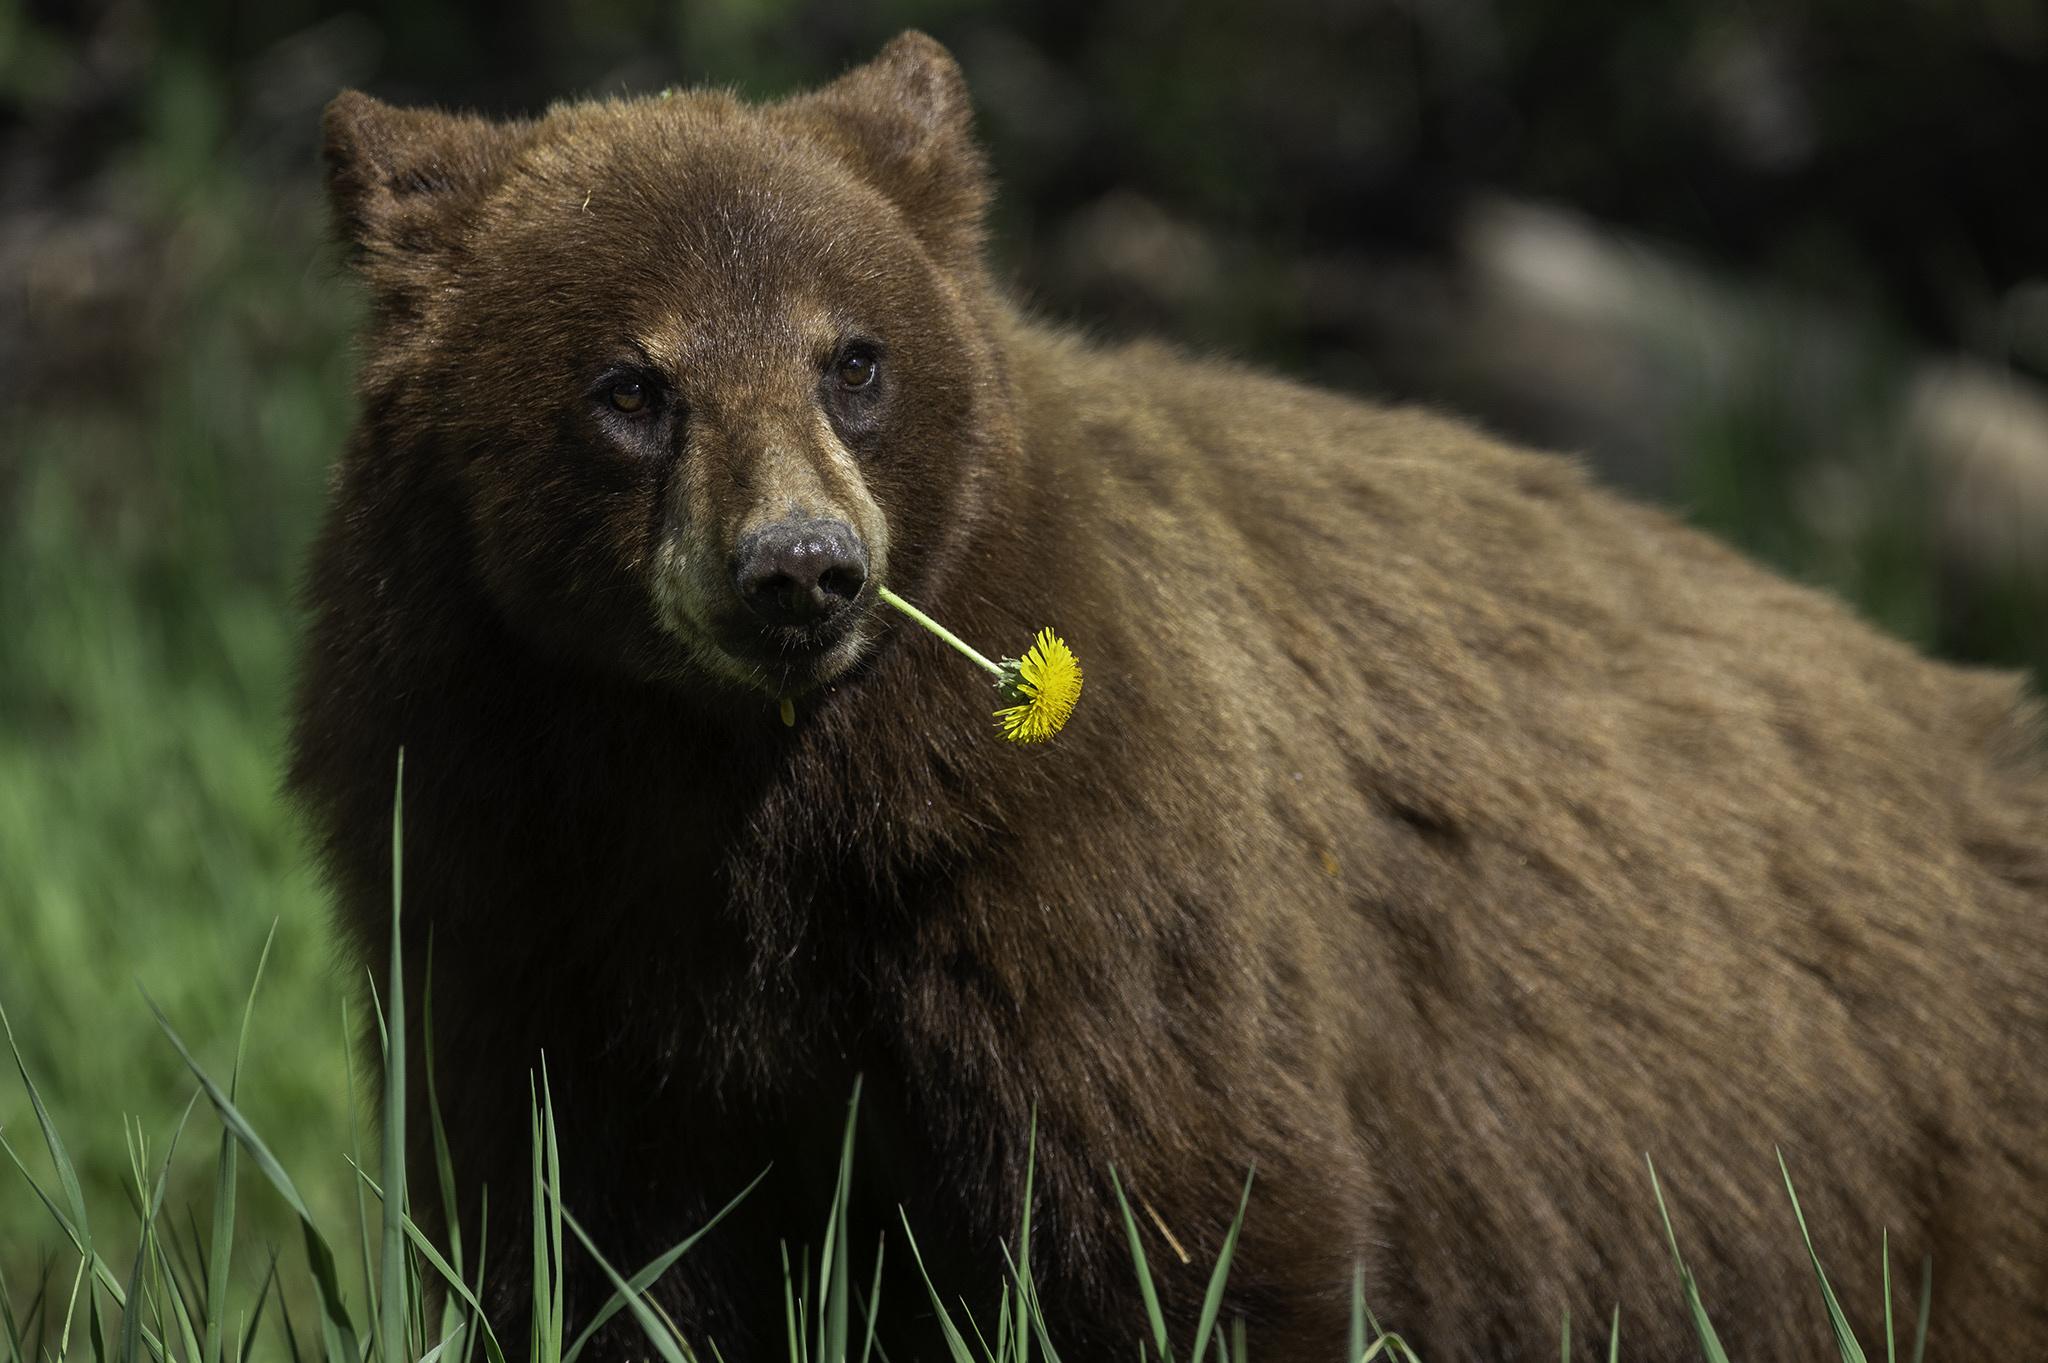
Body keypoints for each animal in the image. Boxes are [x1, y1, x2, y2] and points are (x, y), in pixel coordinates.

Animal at [290, 30, 2048, 1362]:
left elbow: (1184, 1216)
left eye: (854, 358)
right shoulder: (505, 884)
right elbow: (573, 1235)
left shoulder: (1066, 873)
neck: (730, 791)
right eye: (629, 384)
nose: (800, 569)